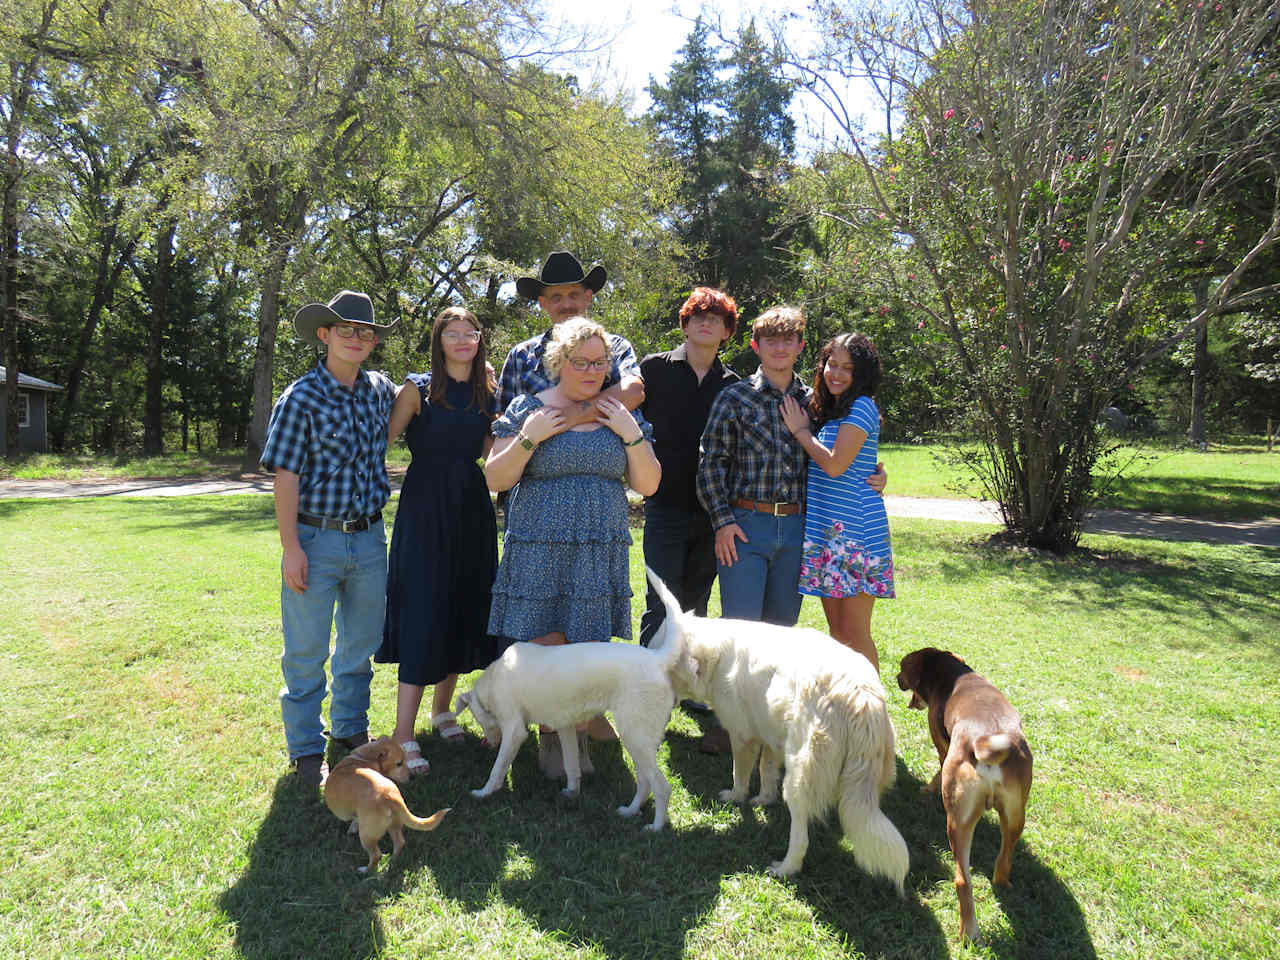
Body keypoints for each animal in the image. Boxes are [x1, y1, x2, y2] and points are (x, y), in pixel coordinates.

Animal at [325, 737, 450, 870]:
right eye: (399, 763)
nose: (412, 777)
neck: (364, 758)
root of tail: (390, 796)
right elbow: (355, 820)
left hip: (366, 836)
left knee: (376, 855)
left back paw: (365, 870)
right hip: (394, 824)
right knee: (400, 842)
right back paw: (393, 861)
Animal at [453, 634, 691, 829]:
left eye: (480, 721)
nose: (490, 744)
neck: (494, 679)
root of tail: (658, 659)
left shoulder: (514, 731)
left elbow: (497, 768)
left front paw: (484, 792)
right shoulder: (565, 726)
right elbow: (571, 764)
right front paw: (572, 792)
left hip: (635, 737)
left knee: (661, 787)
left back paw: (655, 827)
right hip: (638, 739)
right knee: (644, 781)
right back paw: (630, 811)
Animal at [650, 568, 911, 890]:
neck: (717, 655)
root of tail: (860, 695)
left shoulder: (742, 736)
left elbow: (740, 773)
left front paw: (736, 797)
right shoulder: (771, 737)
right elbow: (766, 770)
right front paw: (763, 799)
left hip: (799, 778)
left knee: (800, 836)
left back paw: (785, 868)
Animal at [896, 650, 1034, 942]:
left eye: (902, 668)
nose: (896, 678)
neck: (951, 672)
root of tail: (988, 742)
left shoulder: (942, 746)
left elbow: (937, 771)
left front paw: (928, 790)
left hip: (958, 823)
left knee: (962, 881)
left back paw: (968, 934)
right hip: (1016, 816)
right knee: (1004, 859)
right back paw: (1002, 885)